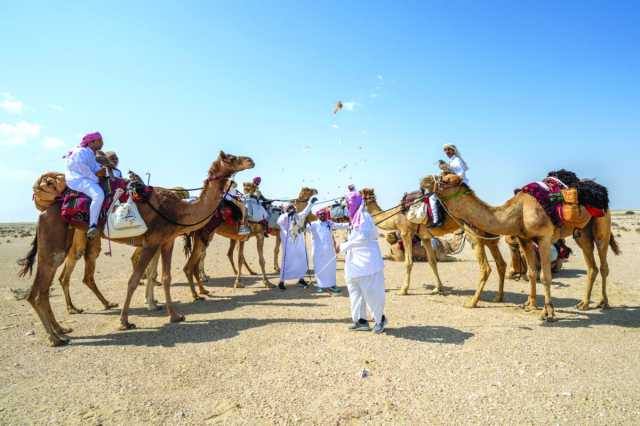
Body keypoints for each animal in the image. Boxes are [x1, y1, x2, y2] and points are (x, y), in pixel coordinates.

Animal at [17, 151, 254, 346]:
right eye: (231, 157)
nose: (250, 160)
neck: (178, 211)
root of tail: (43, 212)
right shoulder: (151, 242)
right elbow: (134, 279)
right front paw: (124, 321)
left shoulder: (166, 241)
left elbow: (165, 277)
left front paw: (175, 315)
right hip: (55, 241)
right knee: (38, 290)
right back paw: (55, 337)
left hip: (63, 240)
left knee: (43, 289)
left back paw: (61, 330)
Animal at [360, 186, 504, 306]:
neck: (395, 217)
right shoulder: (425, 237)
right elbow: (432, 261)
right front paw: (438, 288)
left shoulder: (406, 232)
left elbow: (408, 262)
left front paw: (403, 290)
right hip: (487, 235)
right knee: (501, 263)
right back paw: (498, 297)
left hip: (473, 232)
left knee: (485, 267)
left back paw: (472, 302)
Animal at [420, 173, 620, 320]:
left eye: (445, 180)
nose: (424, 180)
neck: (519, 211)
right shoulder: (525, 239)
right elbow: (531, 273)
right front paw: (530, 305)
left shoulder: (544, 238)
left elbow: (545, 276)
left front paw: (548, 312)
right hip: (582, 233)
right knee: (591, 266)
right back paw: (584, 303)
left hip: (602, 225)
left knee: (603, 264)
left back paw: (603, 303)